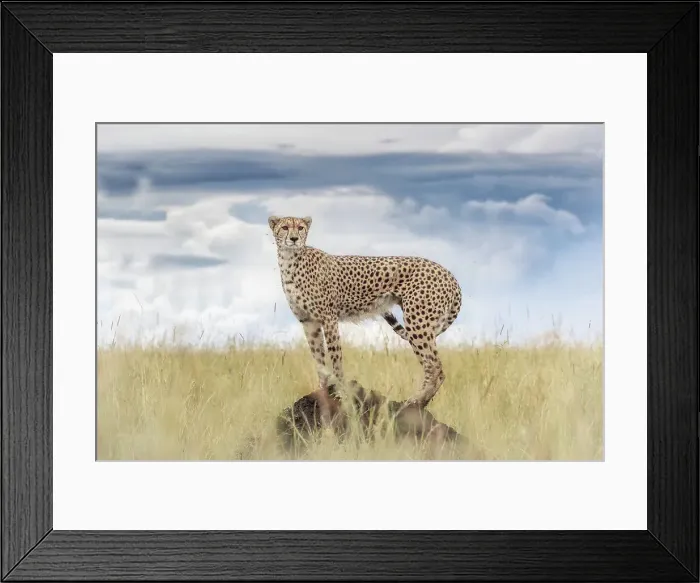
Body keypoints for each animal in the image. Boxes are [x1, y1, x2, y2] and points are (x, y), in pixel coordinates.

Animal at [269, 215, 462, 410]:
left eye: (300, 228)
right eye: (285, 227)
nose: (294, 238)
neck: (290, 259)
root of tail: (450, 275)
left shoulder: (329, 319)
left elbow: (336, 358)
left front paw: (341, 393)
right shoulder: (309, 322)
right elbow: (319, 361)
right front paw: (322, 392)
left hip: (417, 322)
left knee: (435, 367)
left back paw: (415, 401)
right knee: (432, 366)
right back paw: (420, 402)